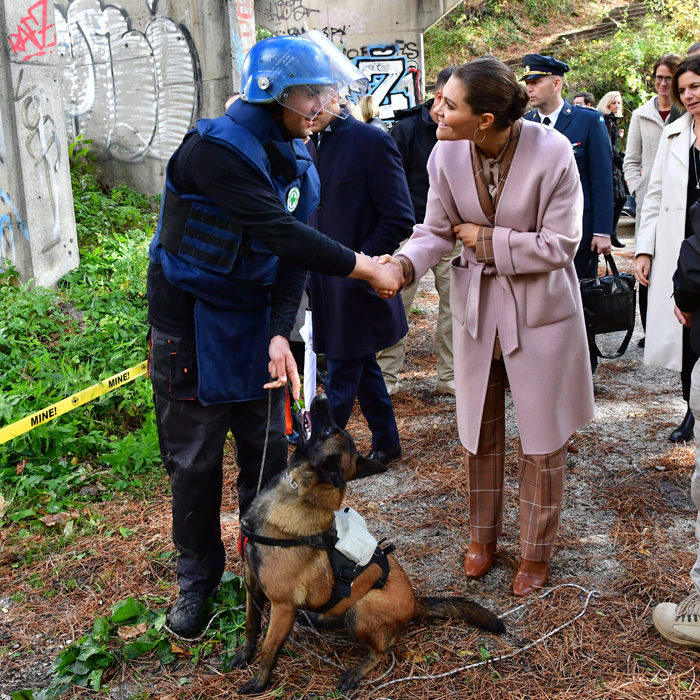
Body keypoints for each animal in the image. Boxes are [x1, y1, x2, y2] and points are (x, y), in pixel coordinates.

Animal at [232, 394, 506, 696]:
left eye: (327, 430)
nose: (321, 396)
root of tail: (415, 603)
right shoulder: (252, 585)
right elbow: (251, 627)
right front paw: (244, 655)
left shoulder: (282, 607)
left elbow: (269, 649)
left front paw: (259, 682)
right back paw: (316, 620)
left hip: (362, 611)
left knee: (382, 651)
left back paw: (355, 673)